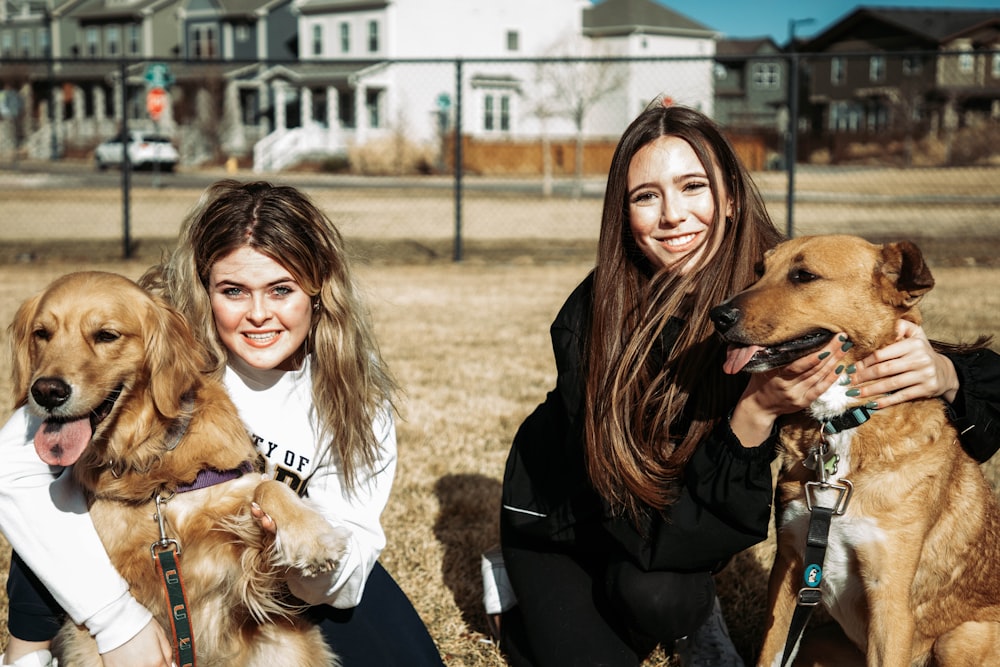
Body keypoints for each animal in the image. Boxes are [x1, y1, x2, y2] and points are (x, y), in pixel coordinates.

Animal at [9, 272, 348, 667]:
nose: (46, 391)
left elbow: (267, 486)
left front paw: (312, 537)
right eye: (42, 334)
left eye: (106, 335)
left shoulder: (239, 548)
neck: (154, 468)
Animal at [708, 237, 1000, 664]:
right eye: (760, 271)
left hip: (960, 639)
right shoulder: (790, 568)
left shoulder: (890, 599)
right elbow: (770, 655)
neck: (842, 423)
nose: (718, 316)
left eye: (804, 275)